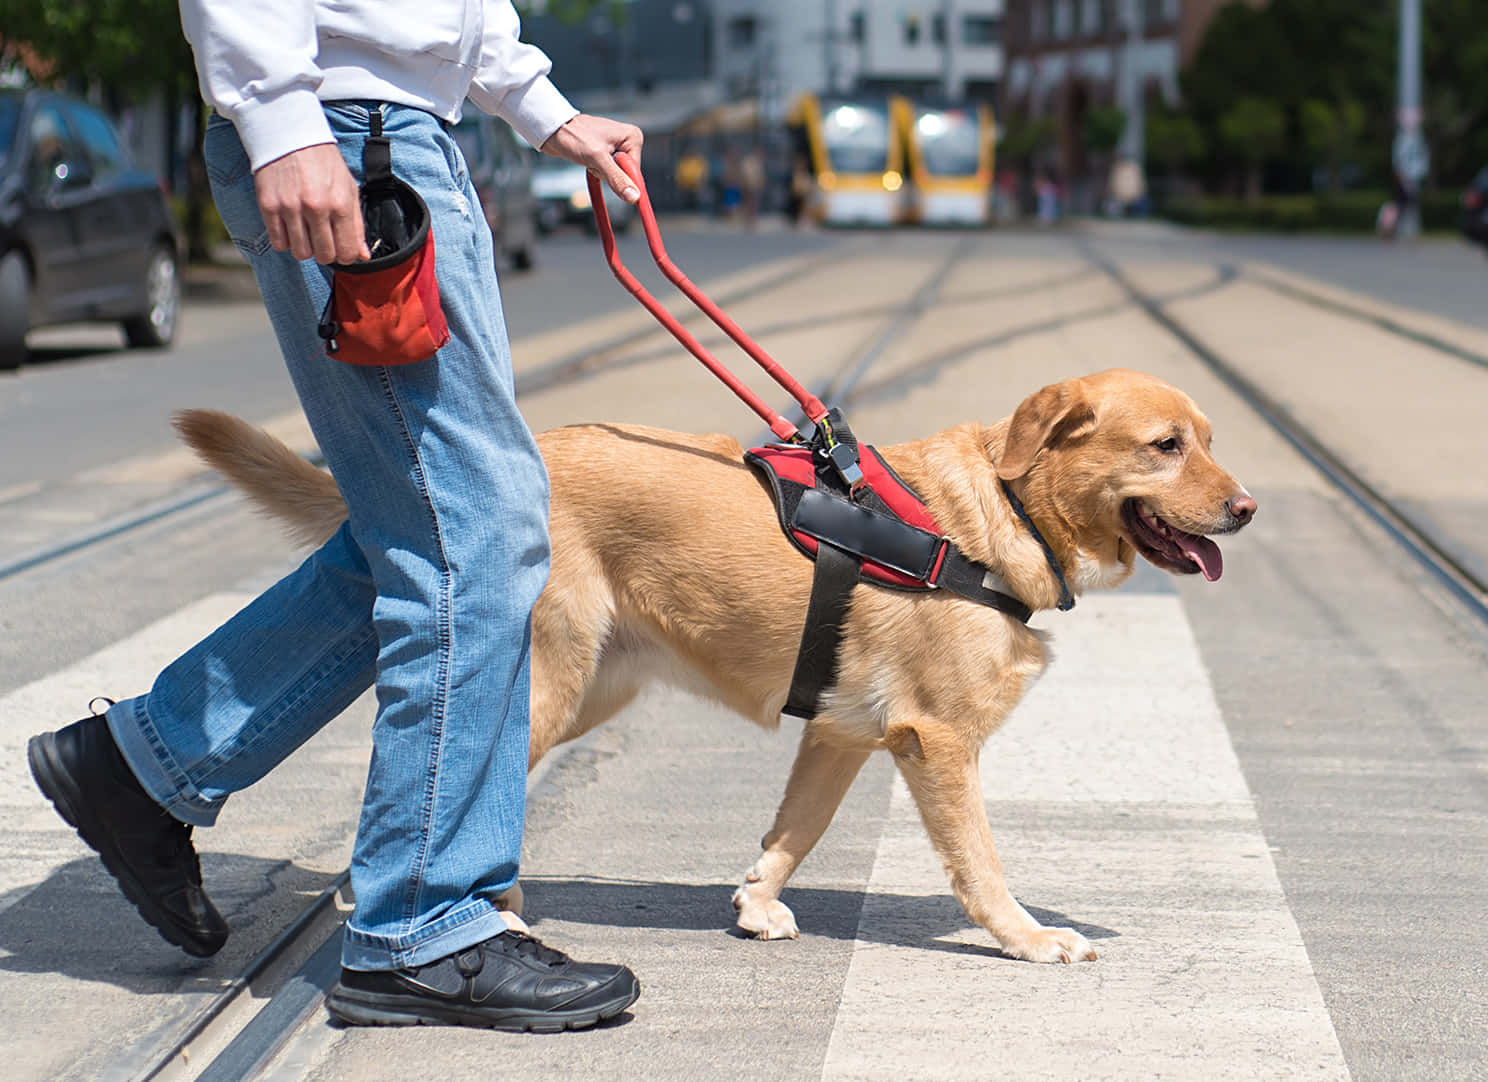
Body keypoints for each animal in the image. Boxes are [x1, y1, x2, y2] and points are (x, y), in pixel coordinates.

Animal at [177, 372, 1255, 964]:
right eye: (1165, 446)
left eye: (1211, 439)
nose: (1246, 507)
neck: (1004, 509)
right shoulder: (939, 742)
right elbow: (981, 864)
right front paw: (1027, 936)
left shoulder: (841, 735)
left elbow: (793, 831)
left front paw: (756, 902)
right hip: (549, 684)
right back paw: (446, 913)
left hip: (592, 688)